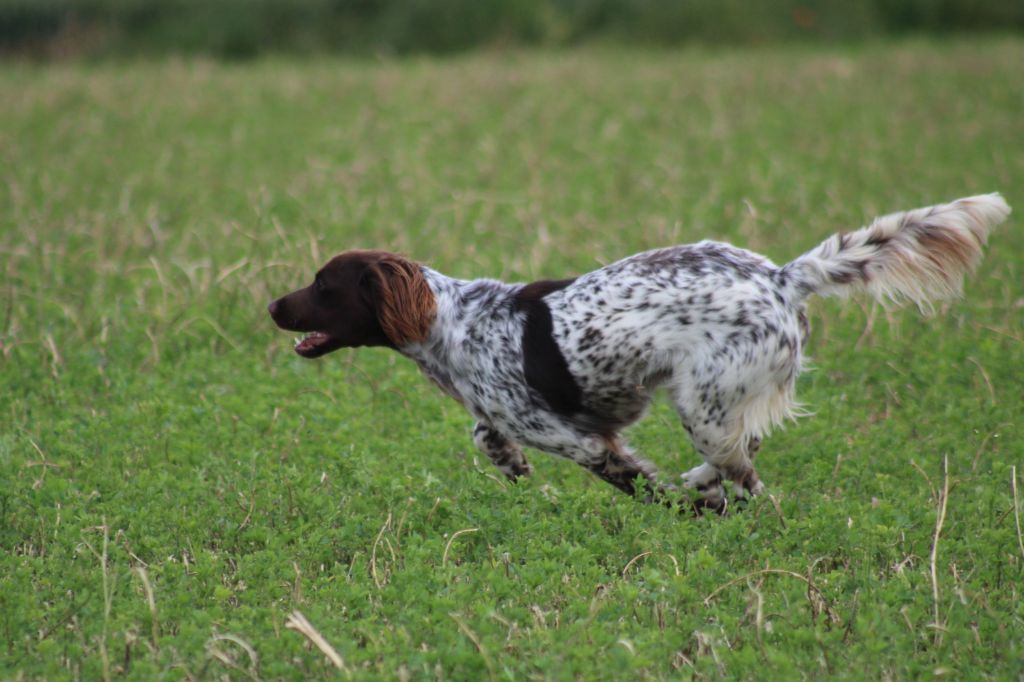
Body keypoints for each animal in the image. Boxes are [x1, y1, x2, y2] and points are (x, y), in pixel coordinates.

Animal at [270, 192, 1007, 509]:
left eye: (323, 285)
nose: (273, 306)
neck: (454, 324)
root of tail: (782, 276)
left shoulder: (585, 443)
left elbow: (636, 484)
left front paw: (685, 511)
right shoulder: (511, 416)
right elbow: (485, 434)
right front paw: (511, 464)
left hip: (701, 403)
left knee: (749, 477)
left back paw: (723, 498)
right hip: (716, 404)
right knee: (743, 453)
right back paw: (706, 483)